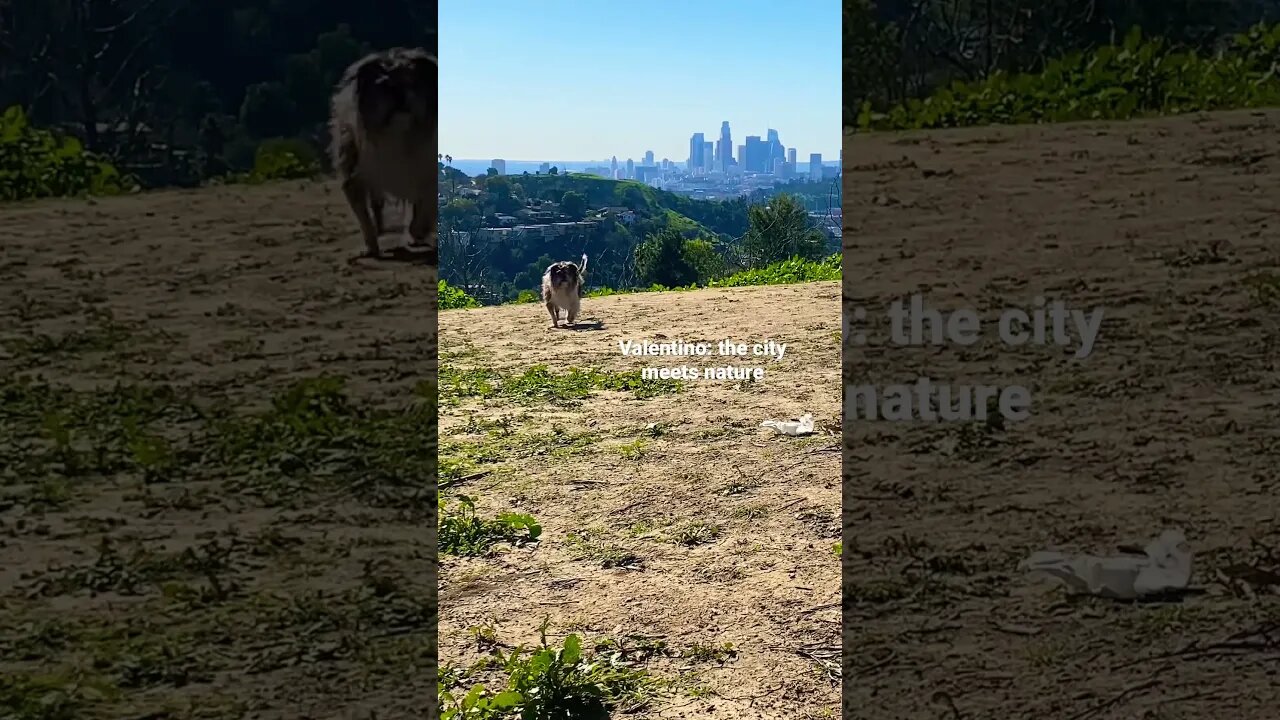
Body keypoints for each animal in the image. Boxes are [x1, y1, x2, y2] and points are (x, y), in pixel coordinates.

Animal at [330, 47, 440, 260]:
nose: (398, 92)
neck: (398, 134)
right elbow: (364, 219)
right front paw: (371, 248)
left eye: (413, 81)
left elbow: (422, 211)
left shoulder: (425, 171)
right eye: (383, 86)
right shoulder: (356, 175)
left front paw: (417, 233)